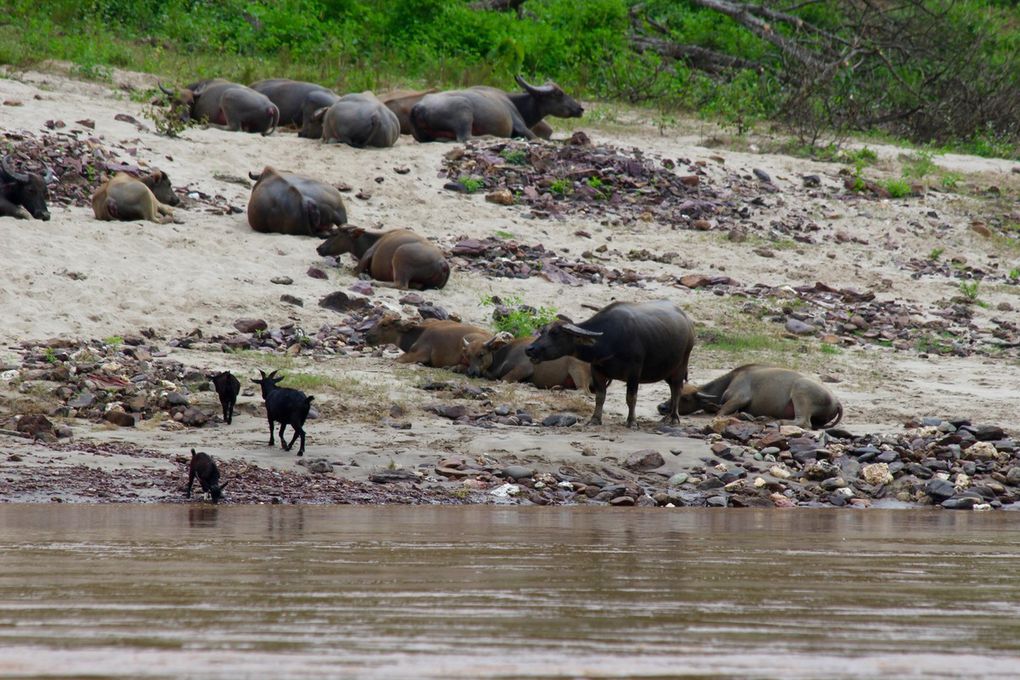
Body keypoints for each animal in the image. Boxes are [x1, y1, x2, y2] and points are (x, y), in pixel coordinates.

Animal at [316, 226, 448, 289]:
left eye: (335, 233)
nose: (319, 248)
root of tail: (442, 262)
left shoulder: (367, 256)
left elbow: (355, 271)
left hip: (401, 256)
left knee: (401, 285)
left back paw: (374, 282)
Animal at [405, 75, 583, 142]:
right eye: (559, 93)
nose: (580, 108)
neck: (516, 103)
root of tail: (418, 106)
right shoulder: (521, 126)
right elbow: (538, 138)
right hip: (464, 112)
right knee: (465, 137)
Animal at [461, 332, 591, 391]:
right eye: (467, 355)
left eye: (481, 354)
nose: (471, 372)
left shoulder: (525, 368)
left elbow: (504, 379)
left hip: (577, 370)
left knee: (583, 391)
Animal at [526, 299, 693, 428]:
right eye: (542, 331)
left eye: (555, 333)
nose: (529, 349)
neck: (610, 340)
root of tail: (688, 322)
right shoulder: (597, 370)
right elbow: (600, 397)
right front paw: (594, 419)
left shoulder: (634, 372)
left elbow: (631, 398)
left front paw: (632, 422)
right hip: (668, 370)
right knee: (672, 388)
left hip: (681, 365)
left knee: (677, 389)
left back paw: (673, 418)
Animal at [669, 364, 844, 428]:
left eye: (685, 398)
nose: (663, 407)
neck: (730, 379)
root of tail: (836, 401)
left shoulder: (740, 397)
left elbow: (720, 412)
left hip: (800, 390)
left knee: (804, 422)